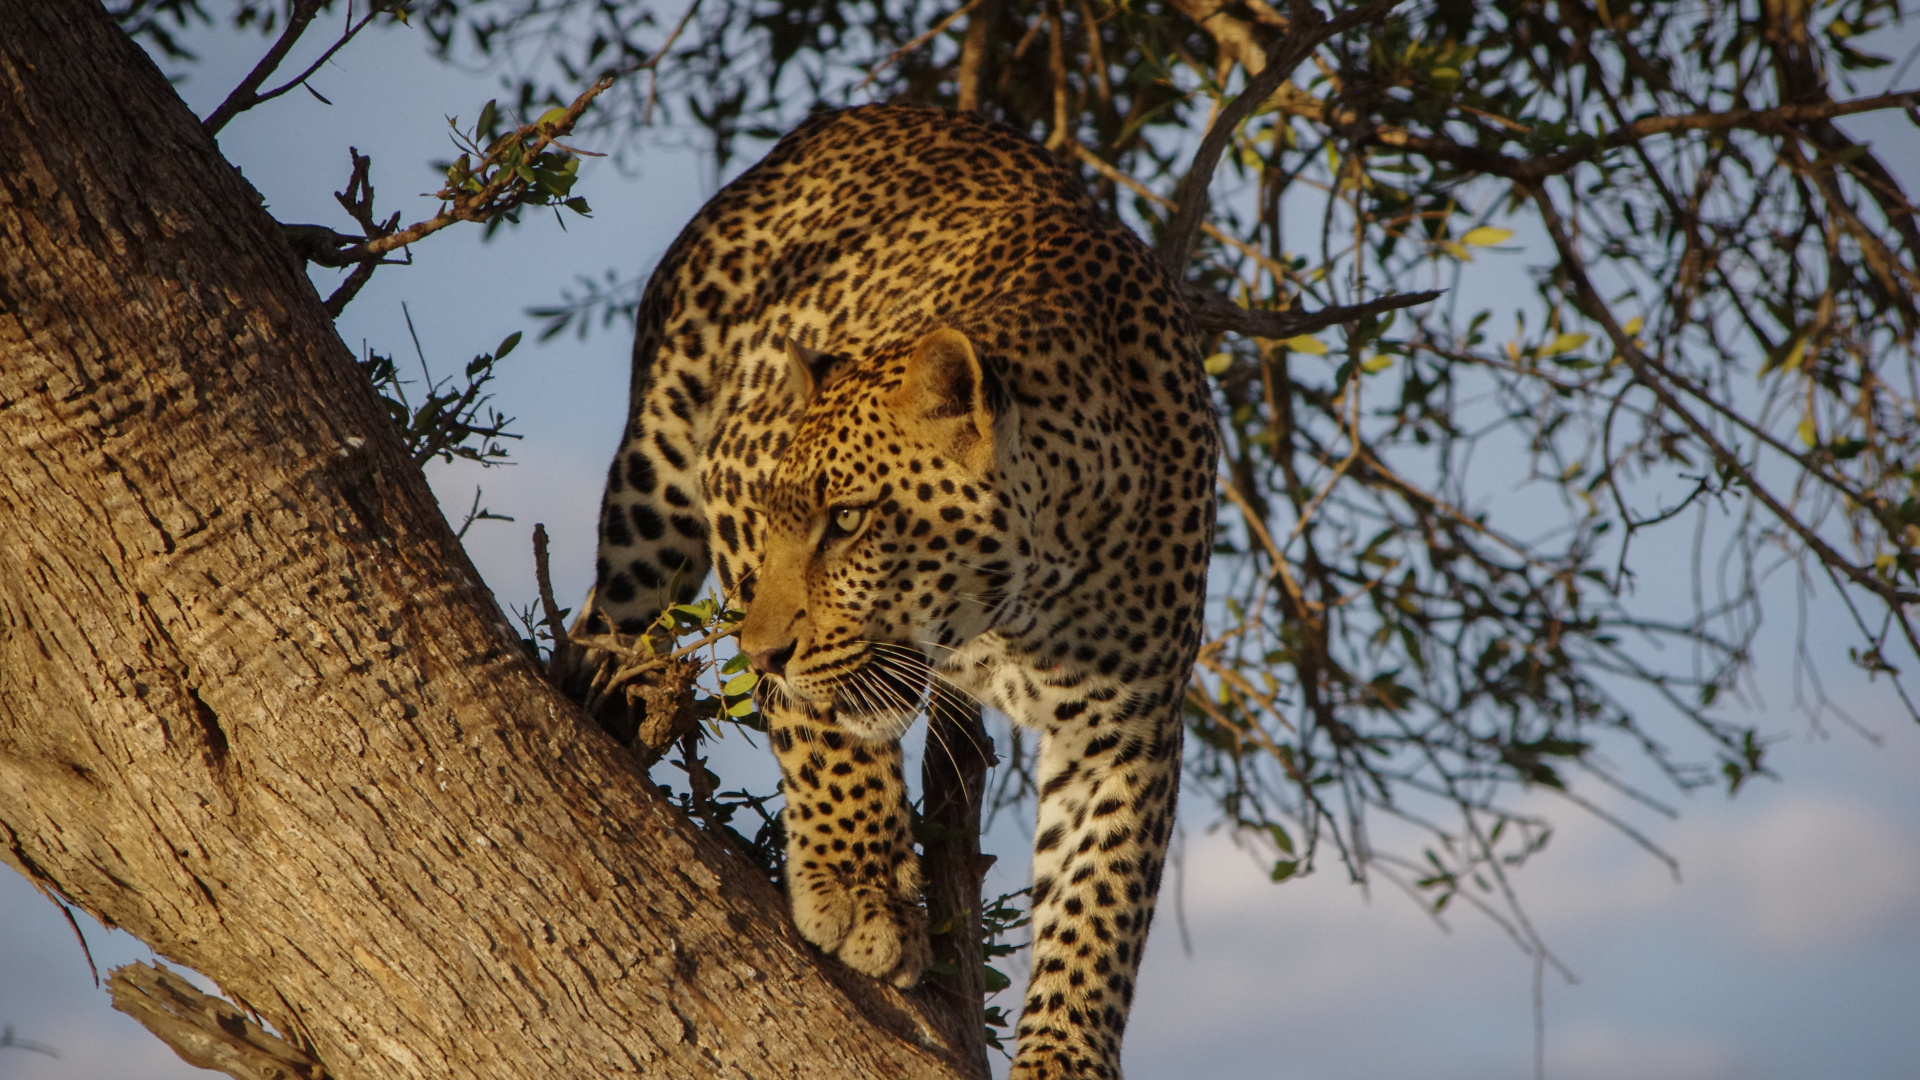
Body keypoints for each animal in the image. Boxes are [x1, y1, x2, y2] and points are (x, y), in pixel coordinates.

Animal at [583, 102, 1213, 1076]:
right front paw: (859, 889)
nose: (762, 650)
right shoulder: (734, 473)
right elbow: (818, 727)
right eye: (784, 518)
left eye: (846, 521)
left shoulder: (1129, 722)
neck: (1025, 602)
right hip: (655, 486)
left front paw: (1065, 1054)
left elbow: (1100, 901)